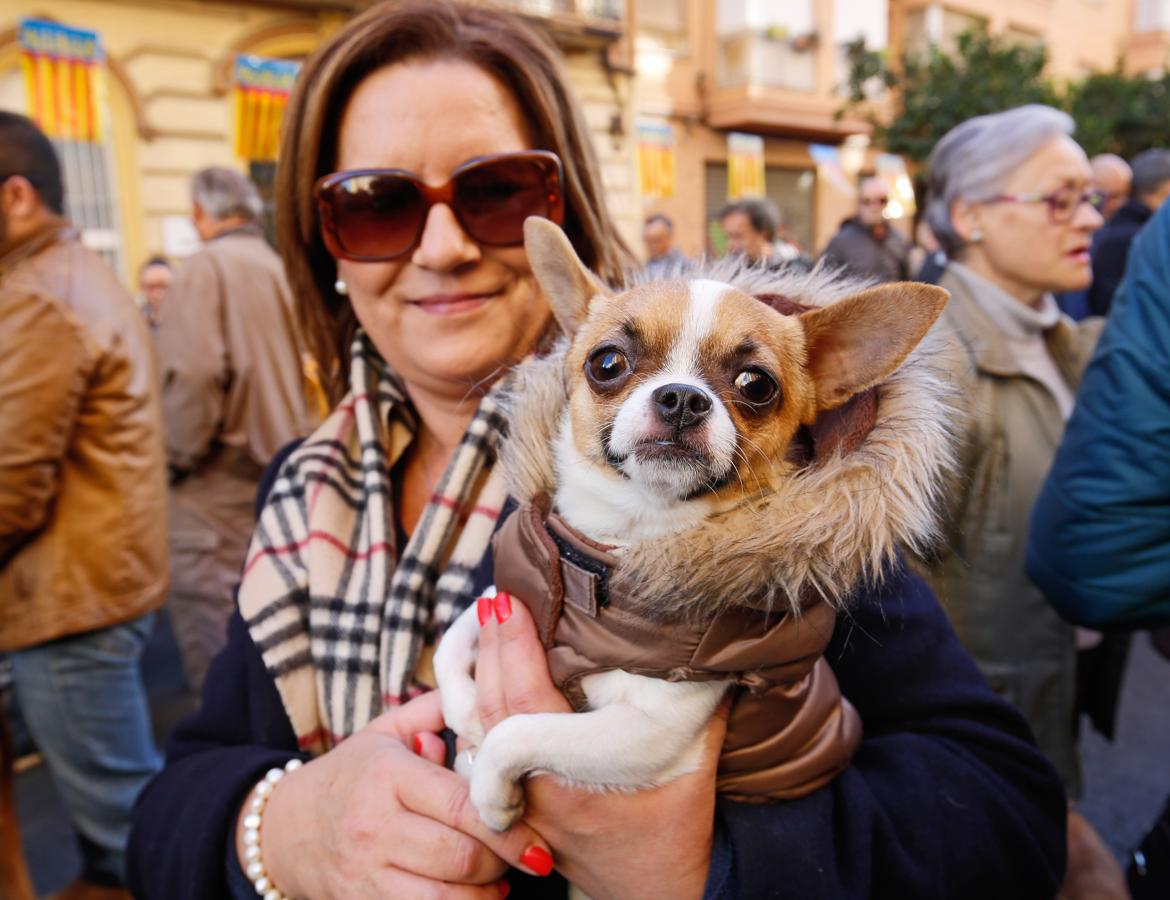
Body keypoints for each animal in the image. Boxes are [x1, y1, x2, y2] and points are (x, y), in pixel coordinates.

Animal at [435, 215, 954, 828]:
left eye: (756, 384)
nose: (683, 397)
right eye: (607, 363)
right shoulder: (512, 597)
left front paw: (490, 790)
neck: (623, 536)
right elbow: (454, 635)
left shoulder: (644, 734)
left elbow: (521, 729)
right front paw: (465, 714)